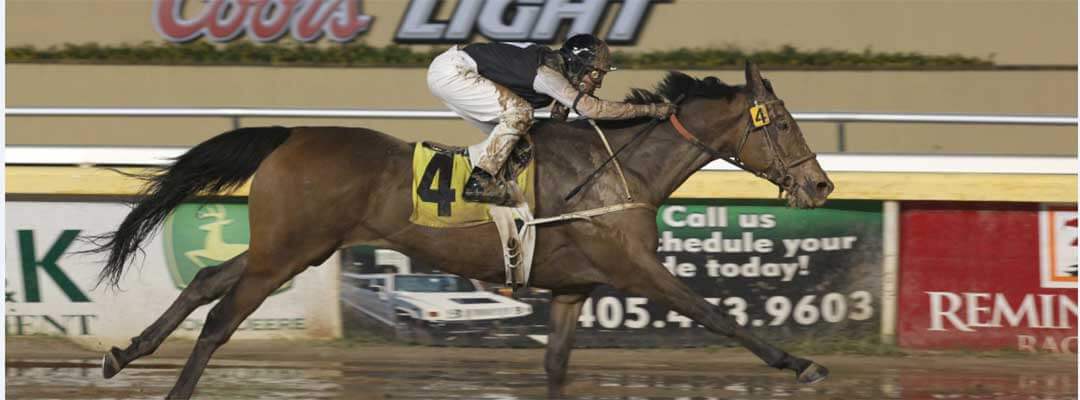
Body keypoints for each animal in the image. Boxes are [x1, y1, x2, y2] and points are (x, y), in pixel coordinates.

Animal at [92, 60, 833, 397]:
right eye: (783, 123)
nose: (821, 185)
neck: (619, 167)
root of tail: (292, 134)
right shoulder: (634, 268)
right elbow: (717, 315)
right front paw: (801, 361)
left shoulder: (572, 288)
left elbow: (556, 364)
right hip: (288, 253)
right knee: (221, 320)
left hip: (290, 246)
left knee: (207, 279)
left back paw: (124, 352)